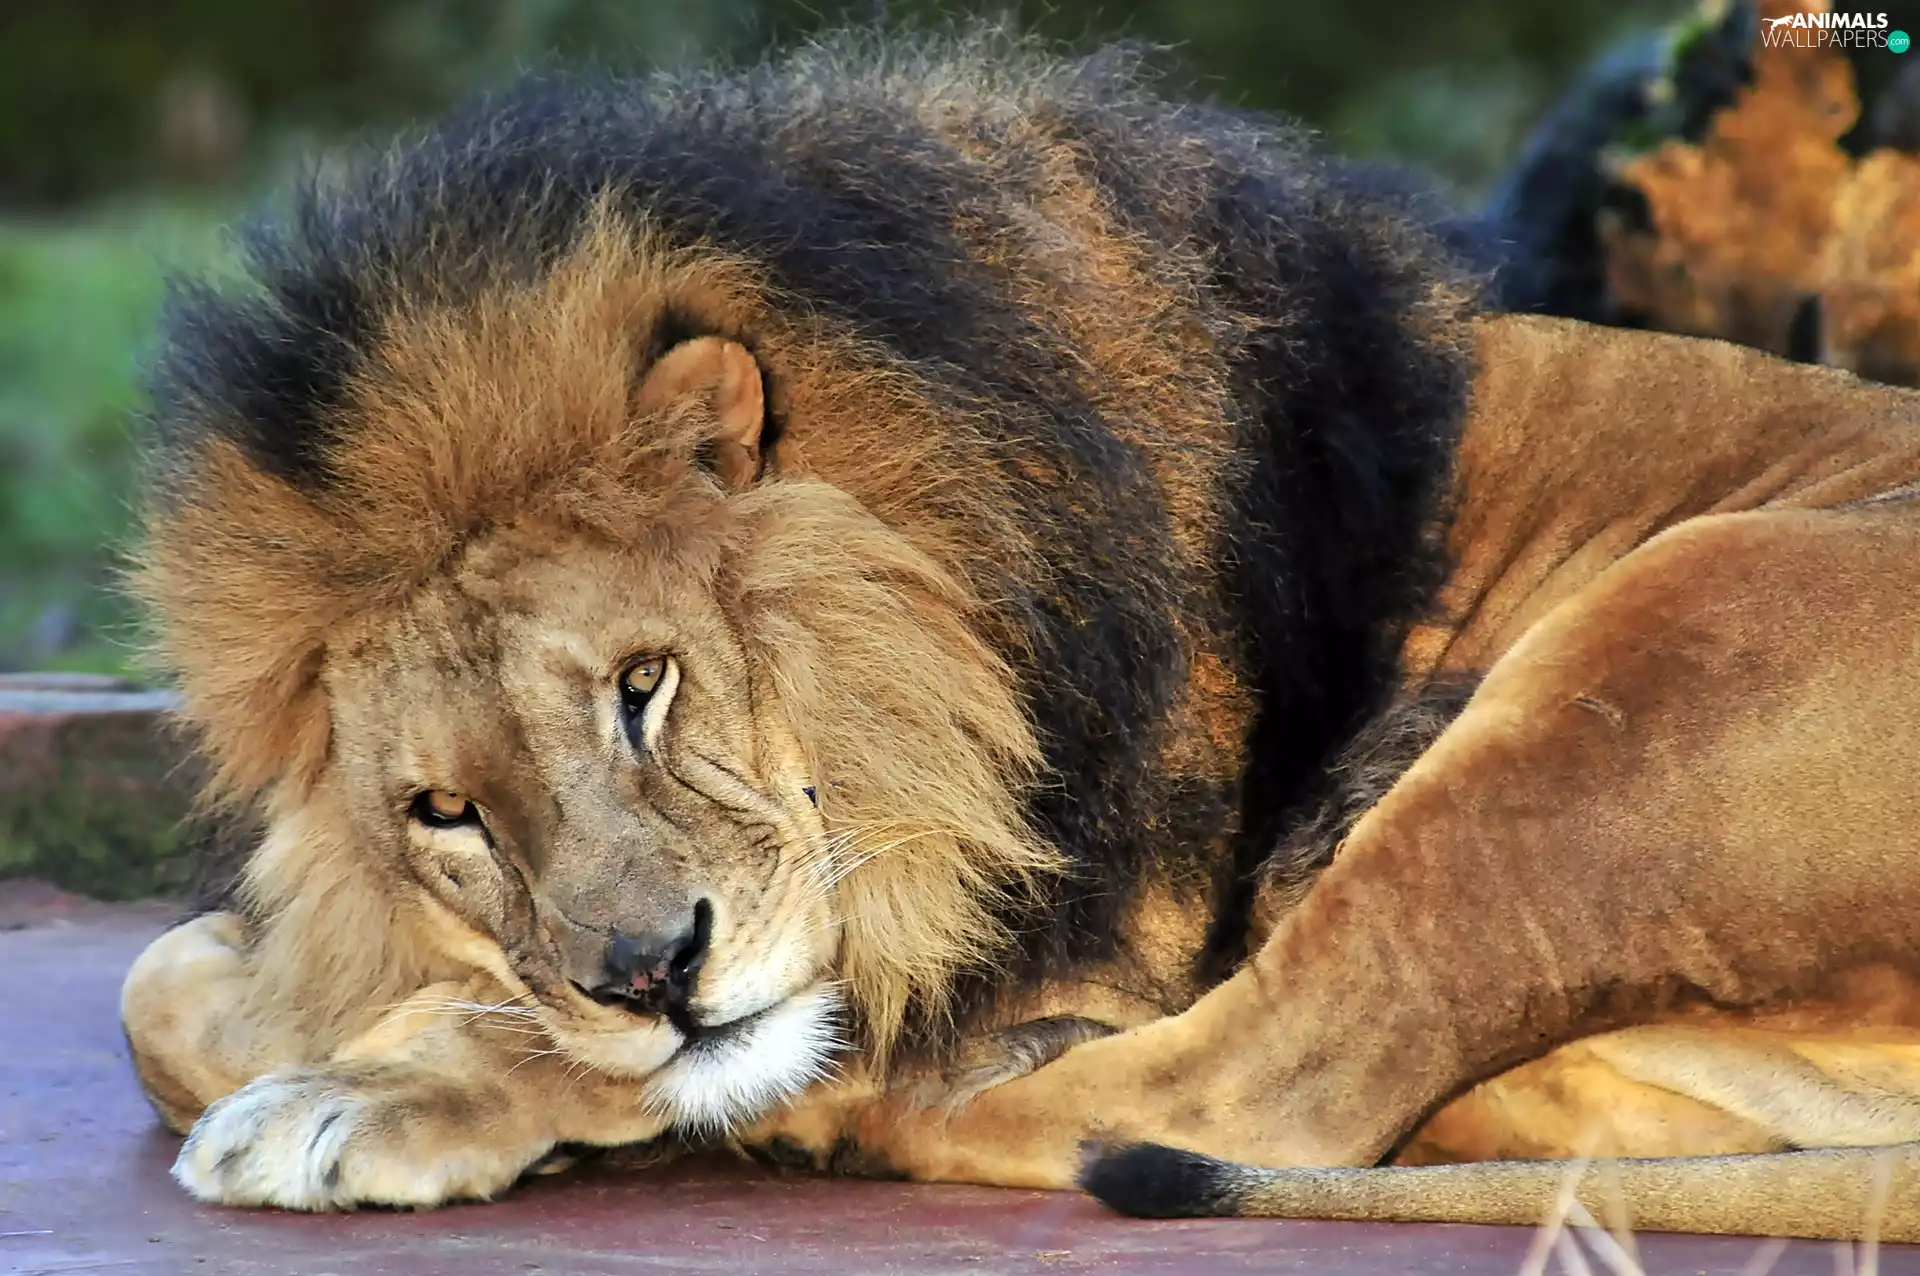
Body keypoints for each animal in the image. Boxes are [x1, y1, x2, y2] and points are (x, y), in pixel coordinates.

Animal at [118, 31, 1920, 1240]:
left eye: (644, 688)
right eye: (445, 811)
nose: (650, 977)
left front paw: (373, 1085)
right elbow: (160, 983)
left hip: (1660, 640)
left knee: (1219, 1089)